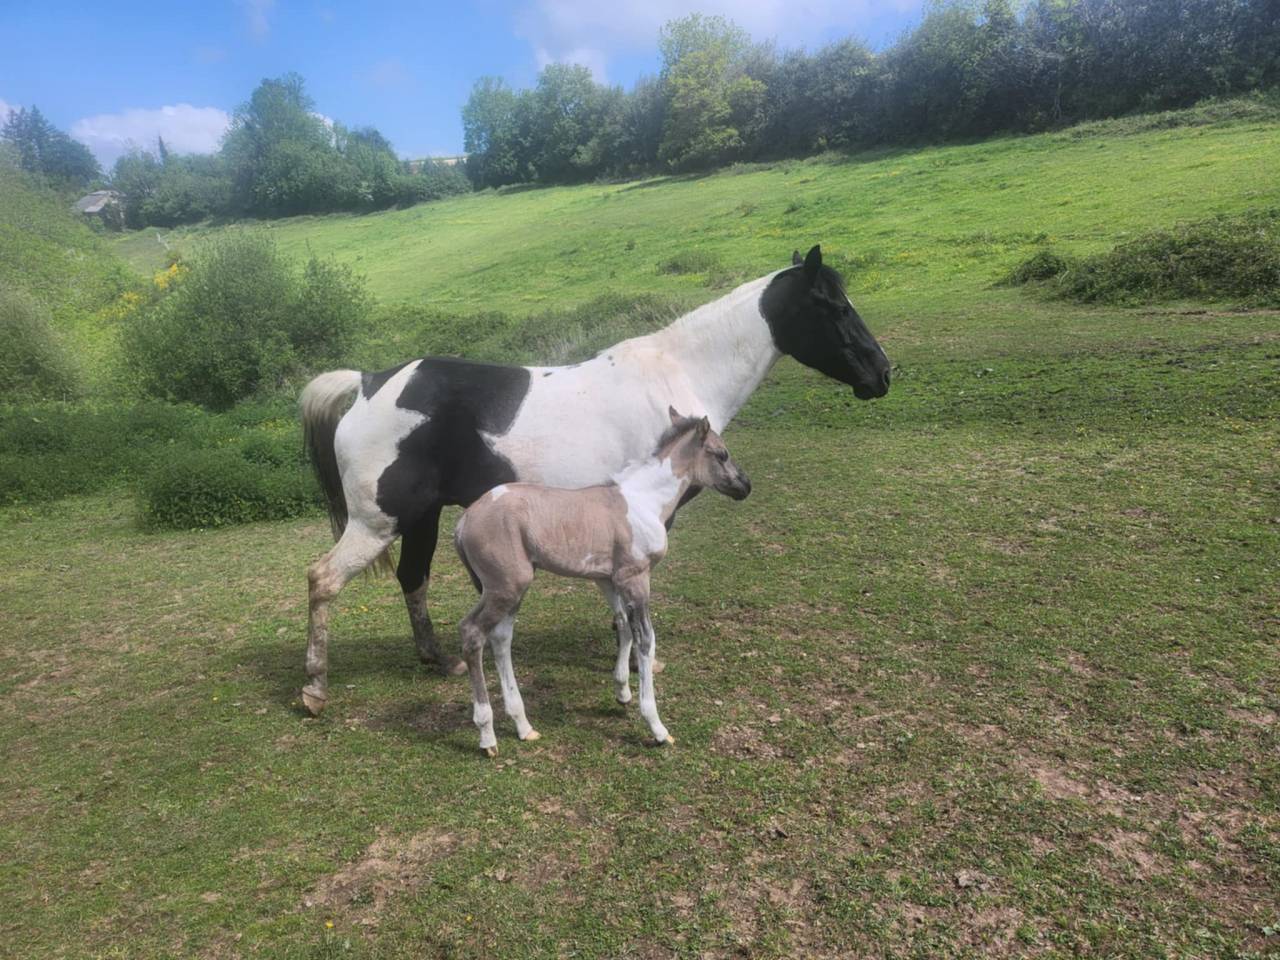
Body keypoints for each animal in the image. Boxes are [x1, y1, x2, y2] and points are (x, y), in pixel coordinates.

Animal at [299, 244, 890, 715]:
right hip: (378, 521)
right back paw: (314, 688)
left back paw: (436, 659)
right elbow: (632, 601)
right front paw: (636, 663)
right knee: (323, 580)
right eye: (835, 307)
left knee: (412, 577)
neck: (677, 373)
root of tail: (369, 384)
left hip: (420, 516)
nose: (882, 375)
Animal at [454, 408, 752, 754]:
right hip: (506, 586)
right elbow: (646, 640)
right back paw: (487, 735)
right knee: (473, 633)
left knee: (501, 639)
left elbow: (623, 626)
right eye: (722, 454)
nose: (745, 486)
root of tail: (464, 520)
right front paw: (656, 727)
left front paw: (622, 692)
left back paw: (523, 726)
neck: (644, 500)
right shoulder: (636, 577)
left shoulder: (608, 579)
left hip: (510, 589)